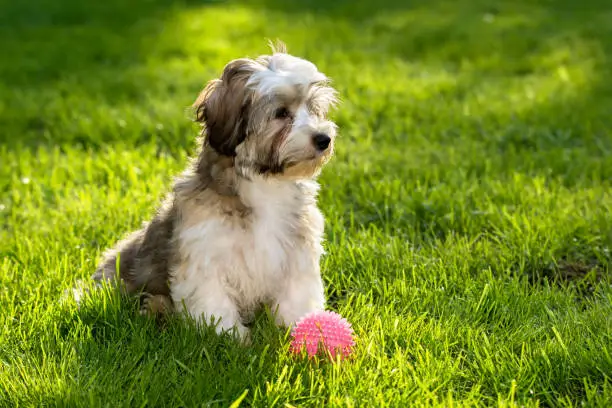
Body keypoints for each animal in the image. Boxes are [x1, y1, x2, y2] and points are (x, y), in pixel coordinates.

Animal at [93, 43, 338, 342]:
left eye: (313, 110)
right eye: (281, 113)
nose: (324, 139)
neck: (266, 183)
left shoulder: (296, 250)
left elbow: (297, 294)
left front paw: (301, 327)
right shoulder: (205, 251)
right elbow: (214, 300)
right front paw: (230, 337)